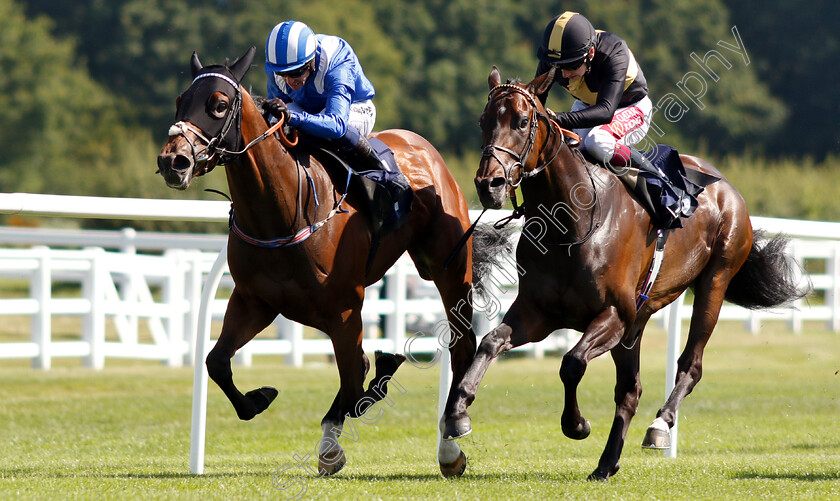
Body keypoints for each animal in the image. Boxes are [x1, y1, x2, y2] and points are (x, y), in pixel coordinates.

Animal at [154, 47, 476, 476]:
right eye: (180, 101)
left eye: (219, 105)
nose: (173, 161)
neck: (282, 210)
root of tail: (424, 146)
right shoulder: (255, 301)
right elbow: (217, 362)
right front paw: (261, 398)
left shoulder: (343, 308)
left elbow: (356, 380)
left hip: (448, 267)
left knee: (462, 345)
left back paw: (450, 442)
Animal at [436, 67, 804, 480]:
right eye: (483, 121)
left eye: (522, 121)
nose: (489, 184)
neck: (570, 222)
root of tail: (726, 186)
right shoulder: (538, 313)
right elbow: (490, 342)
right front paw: (457, 415)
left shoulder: (613, 313)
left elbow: (572, 363)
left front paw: (577, 424)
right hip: (637, 323)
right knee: (630, 390)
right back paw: (607, 462)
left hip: (714, 281)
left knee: (689, 366)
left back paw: (659, 426)